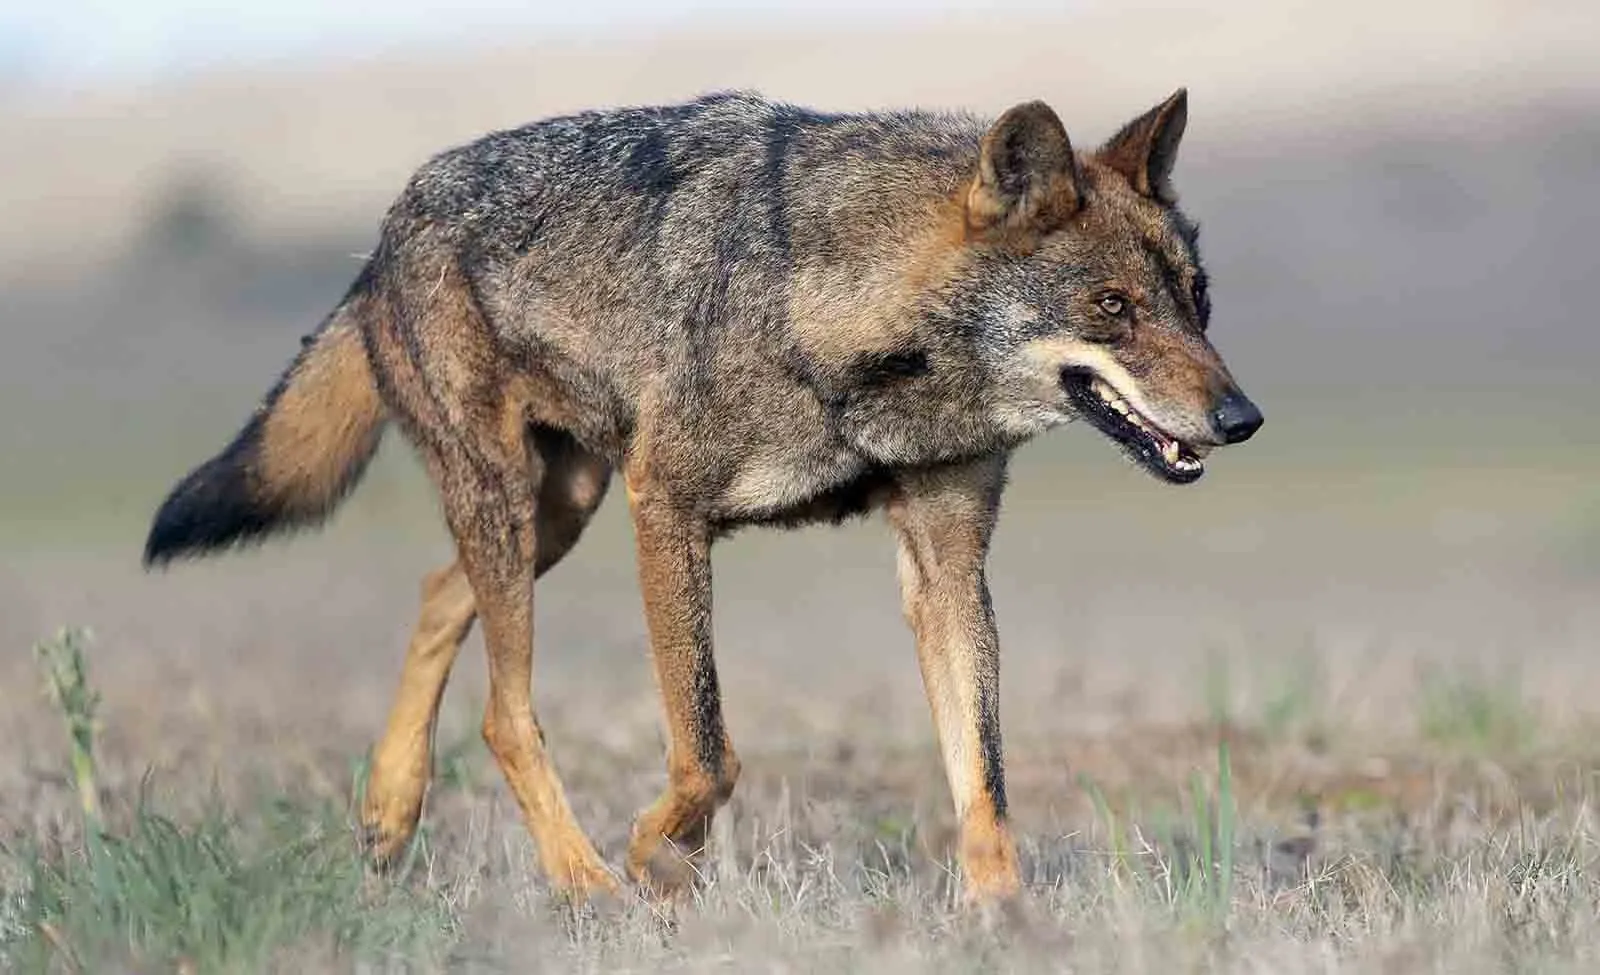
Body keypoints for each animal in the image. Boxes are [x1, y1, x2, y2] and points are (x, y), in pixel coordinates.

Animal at [144, 88, 1262, 905]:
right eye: (1113, 310)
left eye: (1198, 302)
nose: (1242, 417)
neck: (841, 321)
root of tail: (386, 223)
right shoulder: (667, 511)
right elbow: (709, 752)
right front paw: (654, 858)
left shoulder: (945, 565)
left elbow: (981, 778)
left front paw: (1003, 920)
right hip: (521, 507)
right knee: (506, 712)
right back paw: (585, 885)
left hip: (557, 511)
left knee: (433, 597)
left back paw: (389, 814)